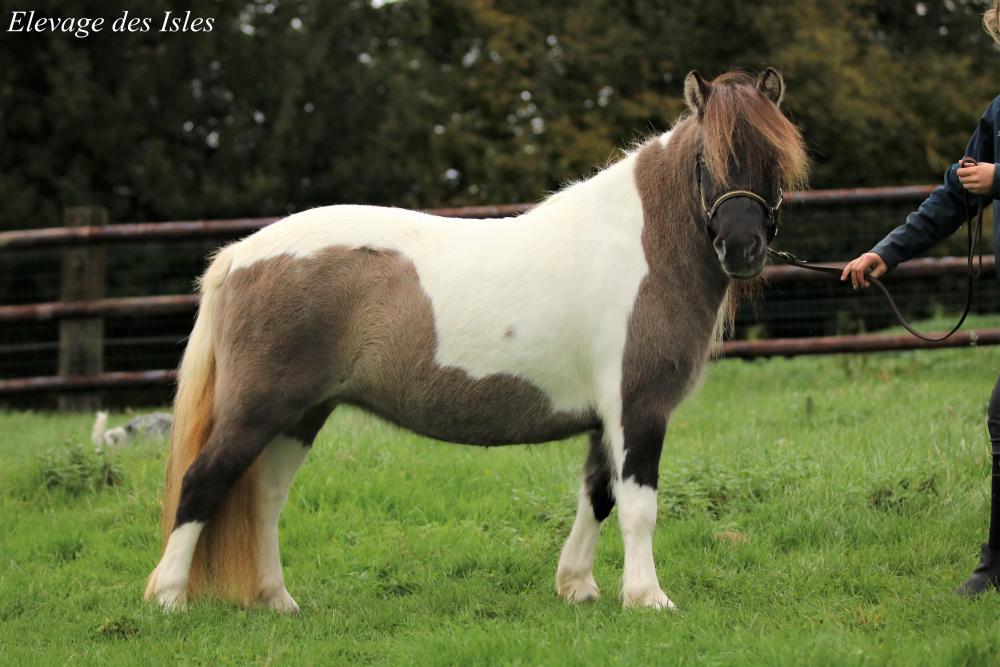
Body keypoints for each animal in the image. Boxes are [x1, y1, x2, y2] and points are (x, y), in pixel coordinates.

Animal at [145, 68, 808, 612]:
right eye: (706, 159)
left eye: (774, 161)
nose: (742, 249)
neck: (640, 246)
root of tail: (240, 254)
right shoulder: (637, 407)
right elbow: (638, 504)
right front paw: (648, 598)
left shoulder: (606, 417)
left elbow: (597, 496)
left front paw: (577, 586)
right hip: (260, 409)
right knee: (203, 483)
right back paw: (168, 599)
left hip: (301, 415)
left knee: (265, 499)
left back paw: (276, 600)